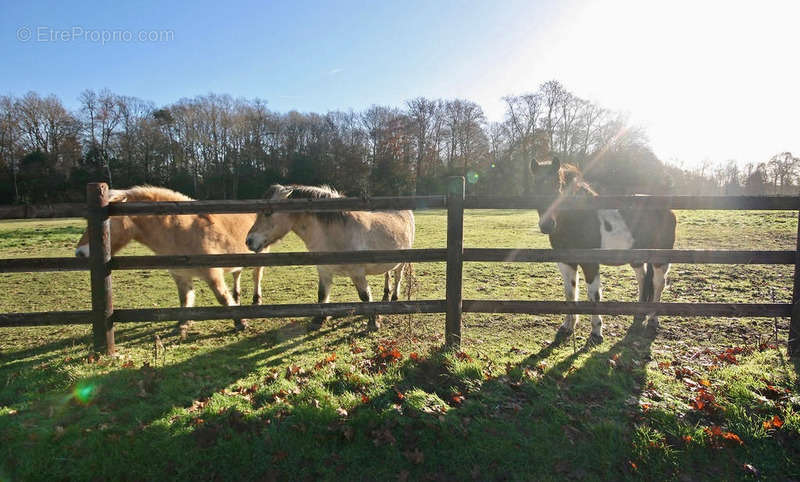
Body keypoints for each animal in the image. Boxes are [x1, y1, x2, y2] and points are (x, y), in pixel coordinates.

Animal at [74, 186, 266, 338]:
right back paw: (238, 297)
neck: (181, 230)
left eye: (106, 224)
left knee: (257, 275)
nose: (79, 253)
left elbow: (223, 298)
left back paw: (256, 300)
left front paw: (240, 322)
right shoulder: (180, 276)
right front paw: (182, 326)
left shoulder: (213, 274)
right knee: (237, 274)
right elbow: (185, 300)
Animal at [245, 185, 416, 332]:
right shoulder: (324, 270)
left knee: (398, 276)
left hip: (403, 260)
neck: (336, 232)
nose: (249, 241)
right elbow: (322, 294)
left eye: (268, 213)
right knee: (388, 274)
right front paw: (318, 320)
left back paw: (394, 297)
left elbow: (365, 296)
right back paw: (386, 295)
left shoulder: (357, 273)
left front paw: (373, 323)